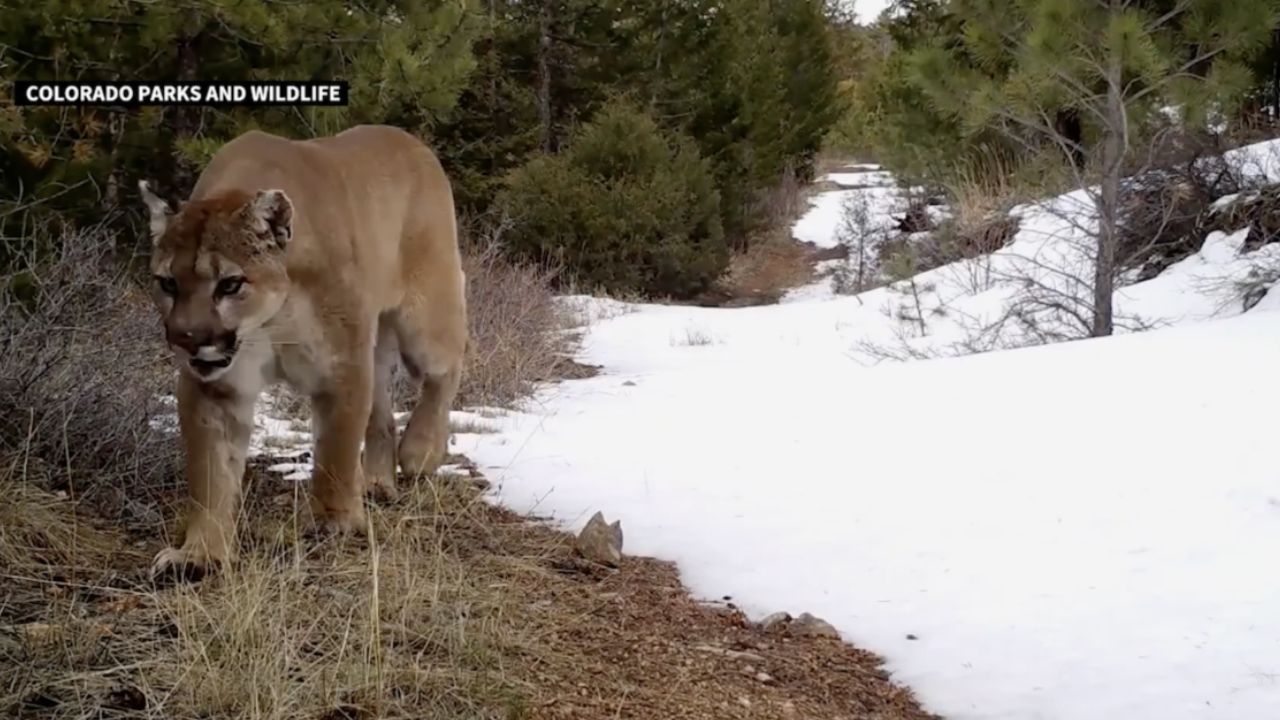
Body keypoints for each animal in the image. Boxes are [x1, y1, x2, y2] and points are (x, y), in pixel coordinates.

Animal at [139, 125, 468, 578]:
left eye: (230, 284)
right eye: (168, 283)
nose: (186, 337)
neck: (270, 319)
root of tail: (407, 137)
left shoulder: (341, 366)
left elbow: (335, 452)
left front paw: (336, 524)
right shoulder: (215, 387)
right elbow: (209, 473)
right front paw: (199, 555)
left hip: (424, 319)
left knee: (446, 370)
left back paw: (421, 452)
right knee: (383, 412)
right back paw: (377, 483)